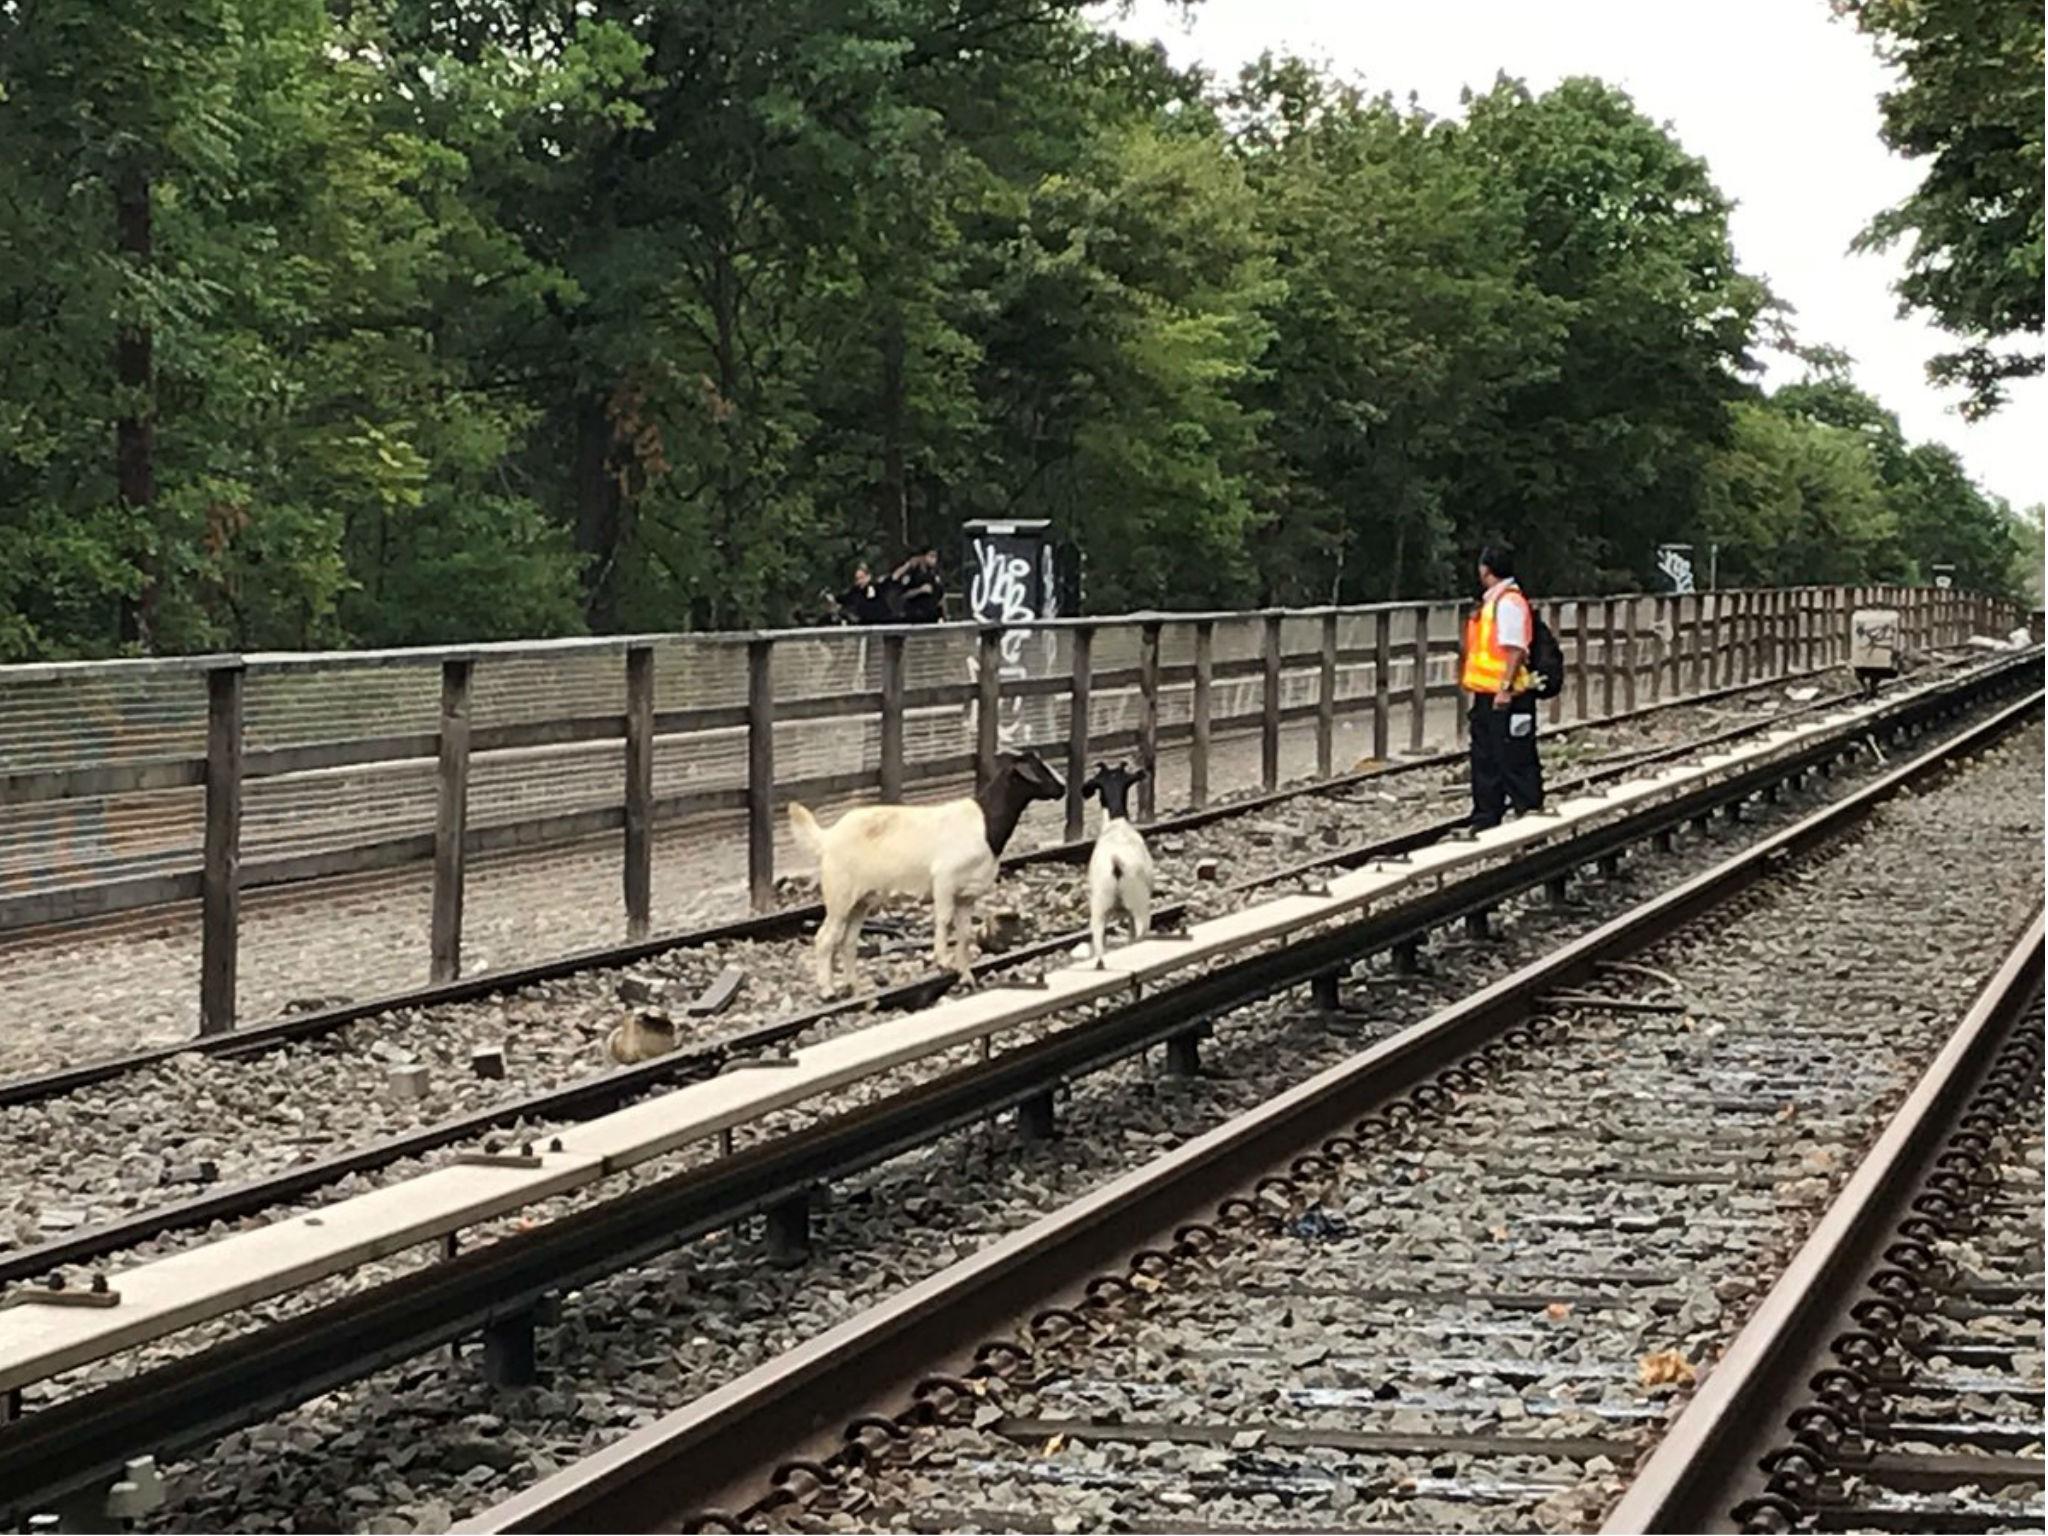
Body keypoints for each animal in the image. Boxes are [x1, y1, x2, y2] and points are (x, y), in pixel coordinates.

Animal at [786, 749, 1064, 991]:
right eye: (1039, 770)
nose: (1062, 789)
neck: (985, 825)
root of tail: (827, 837)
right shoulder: (945, 879)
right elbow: (943, 919)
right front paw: (942, 961)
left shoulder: (967, 894)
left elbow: (965, 935)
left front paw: (966, 977)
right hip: (840, 895)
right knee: (824, 939)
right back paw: (827, 991)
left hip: (861, 900)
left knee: (848, 941)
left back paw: (854, 987)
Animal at [1089, 765, 1155, 966]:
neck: (1117, 824)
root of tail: (1116, 862)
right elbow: (1132, 935)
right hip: (1140, 907)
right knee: (1139, 936)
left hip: (1099, 910)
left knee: (1100, 946)